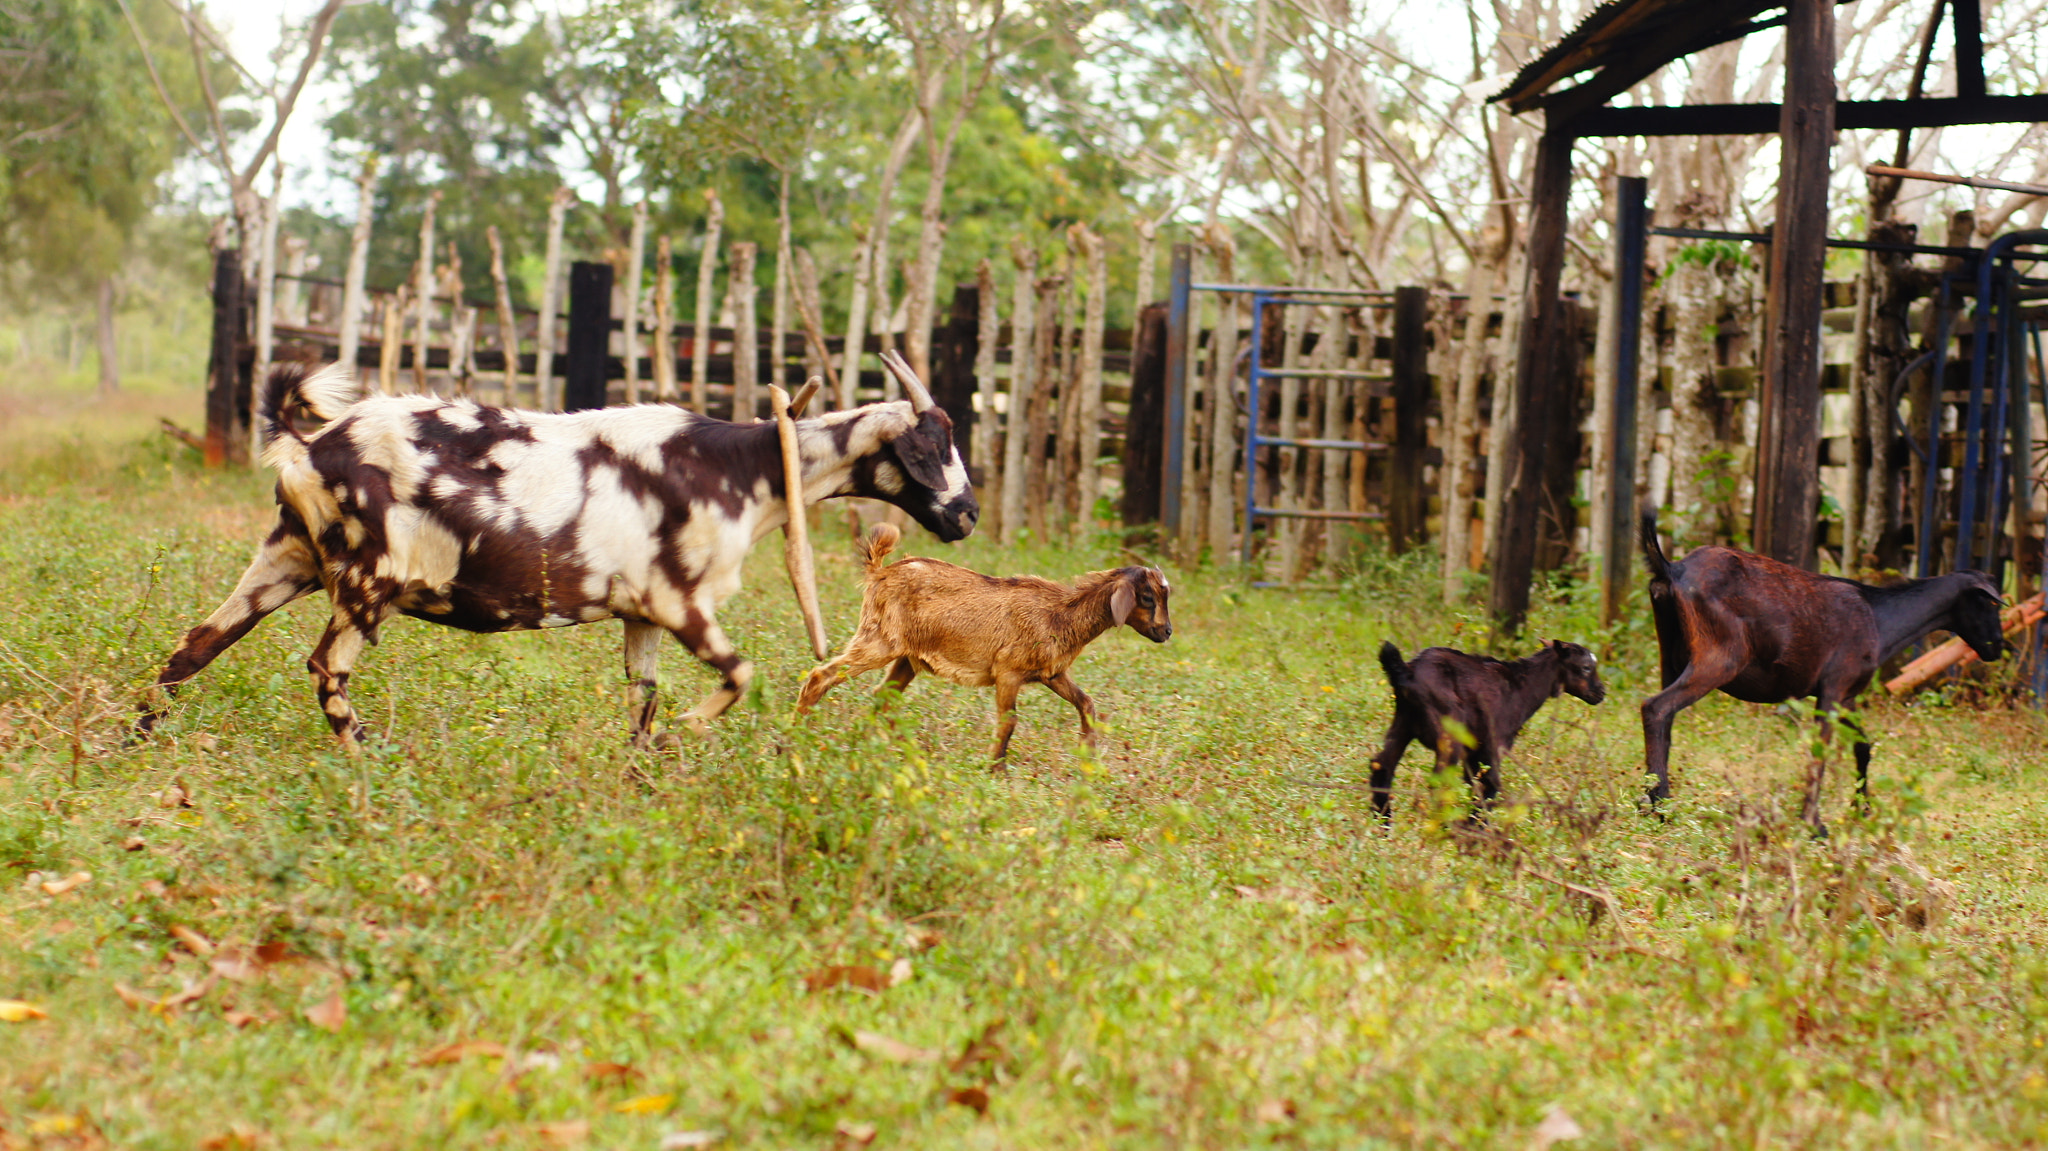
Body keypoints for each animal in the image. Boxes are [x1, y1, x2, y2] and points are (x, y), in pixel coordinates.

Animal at [136, 358, 974, 745]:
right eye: (932, 445)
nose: (966, 514)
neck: (741, 467)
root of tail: (311, 444)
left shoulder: (641, 615)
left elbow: (642, 700)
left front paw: (642, 770)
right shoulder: (679, 599)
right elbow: (740, 675)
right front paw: (677, 740)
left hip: (288, 560)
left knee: (195, 644)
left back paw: (133, 739)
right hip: (367, 582)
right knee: (324, 668)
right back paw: (367, 760)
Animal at [1368, 634, 1605, 815]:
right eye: (1586, 667)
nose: (1601, 692)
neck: (1523, 686)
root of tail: (1408, 672)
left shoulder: (1474, 752)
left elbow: (1474, 787)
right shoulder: (1493, 745)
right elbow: (1489, 786)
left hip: (1404, 722)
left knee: (1382, 764)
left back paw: (1383, 825)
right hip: (1448, 732)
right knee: (1440, 780)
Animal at [1638, 503, 2007, 823]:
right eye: (1990, 603)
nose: (1999, 647)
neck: (1880, 619)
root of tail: (1672, 570)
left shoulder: (1848, 693)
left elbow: (1863, 747)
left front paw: (1862, 810)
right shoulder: (1833, 687)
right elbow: (1821, 751)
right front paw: (1814, 824)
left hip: (1671, 655)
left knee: (1665, 718)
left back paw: (1653, 799)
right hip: (1721, 657)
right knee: (1656, 707)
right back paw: (1661, 806)